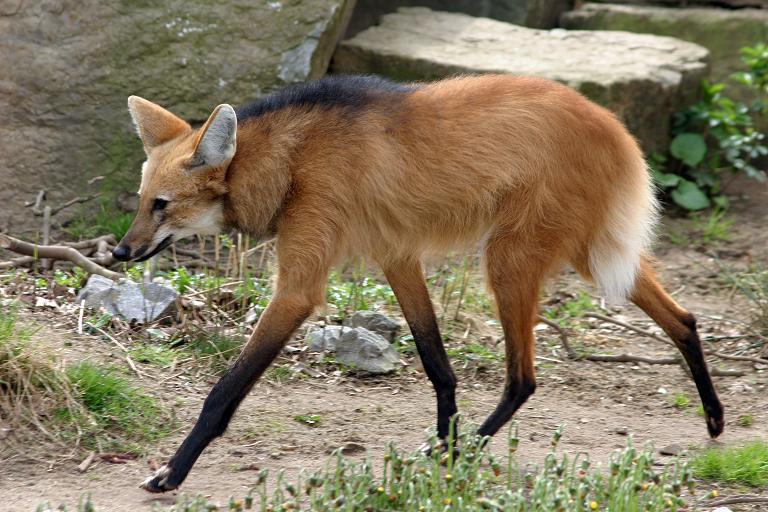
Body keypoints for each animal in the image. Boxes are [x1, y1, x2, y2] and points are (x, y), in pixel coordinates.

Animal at [111, 73, 724, 492]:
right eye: (142, 202)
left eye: (162, 205)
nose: (120, 252)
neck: (291, 159)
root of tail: (613, 124)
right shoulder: (397, 256)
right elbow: (437, 363)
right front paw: (445, 437)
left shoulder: (300, 289)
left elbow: (225, 390)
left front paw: (172, 472)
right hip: (590, 253)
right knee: (684, 318)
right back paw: (715, 419)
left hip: (509, 259)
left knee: (524, 378)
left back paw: (469, 451)